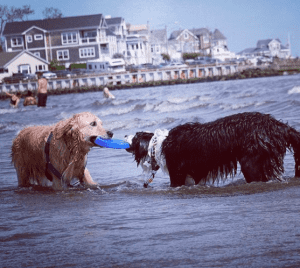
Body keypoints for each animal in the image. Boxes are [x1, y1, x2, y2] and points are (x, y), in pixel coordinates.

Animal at [125, 112, 300, 187]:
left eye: (134, 137)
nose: (125, 134)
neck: (158, 144)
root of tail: (277, 125)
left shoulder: (177, 175)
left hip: (251, 163)